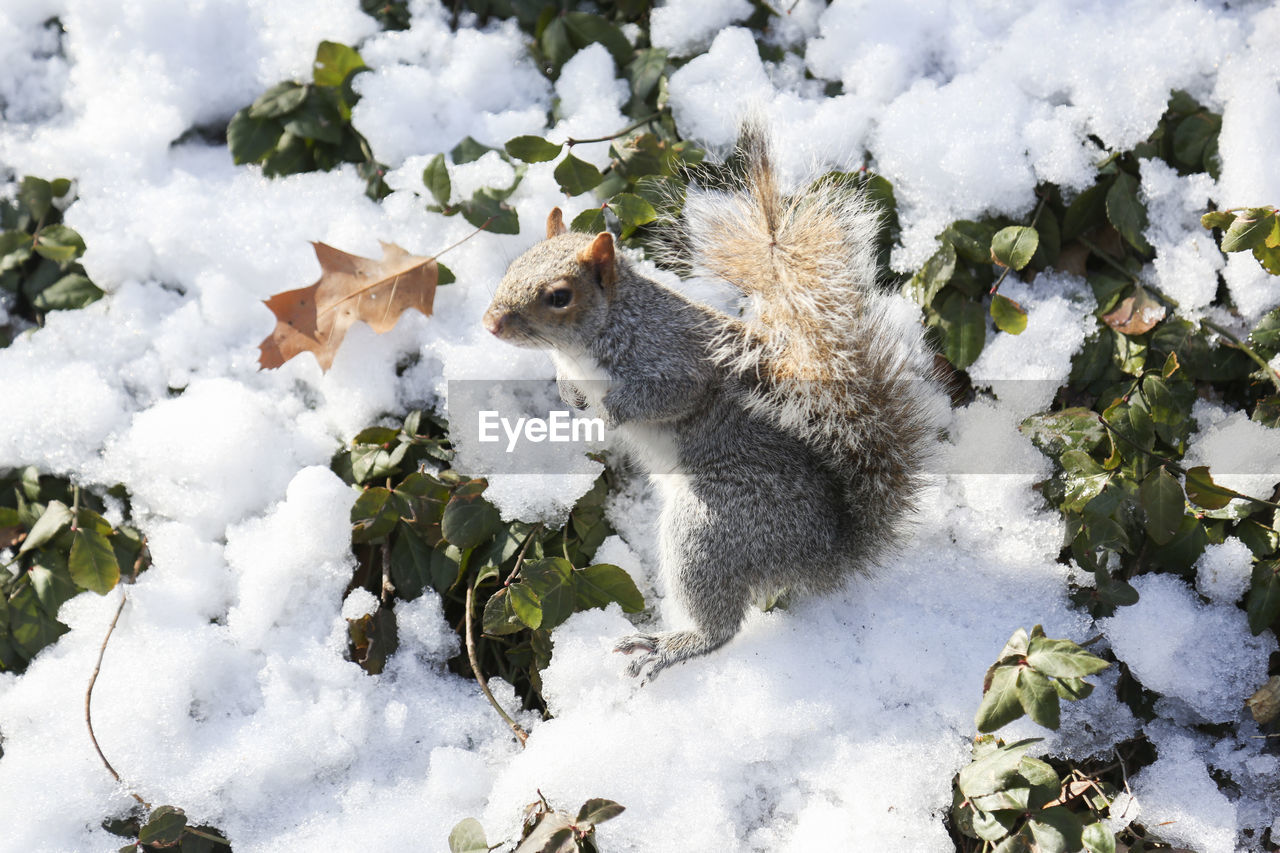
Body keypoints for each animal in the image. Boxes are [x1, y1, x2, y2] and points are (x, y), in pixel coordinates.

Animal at [483, 126, 936, 681]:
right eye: (513, 266)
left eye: (559, 296)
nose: (490, 323)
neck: (596, 339)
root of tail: (824, 553)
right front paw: (571, 398)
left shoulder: (674, 363)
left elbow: (663, 397)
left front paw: (609, 412)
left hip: (713, 528)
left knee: (719, 626)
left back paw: (671, 644)